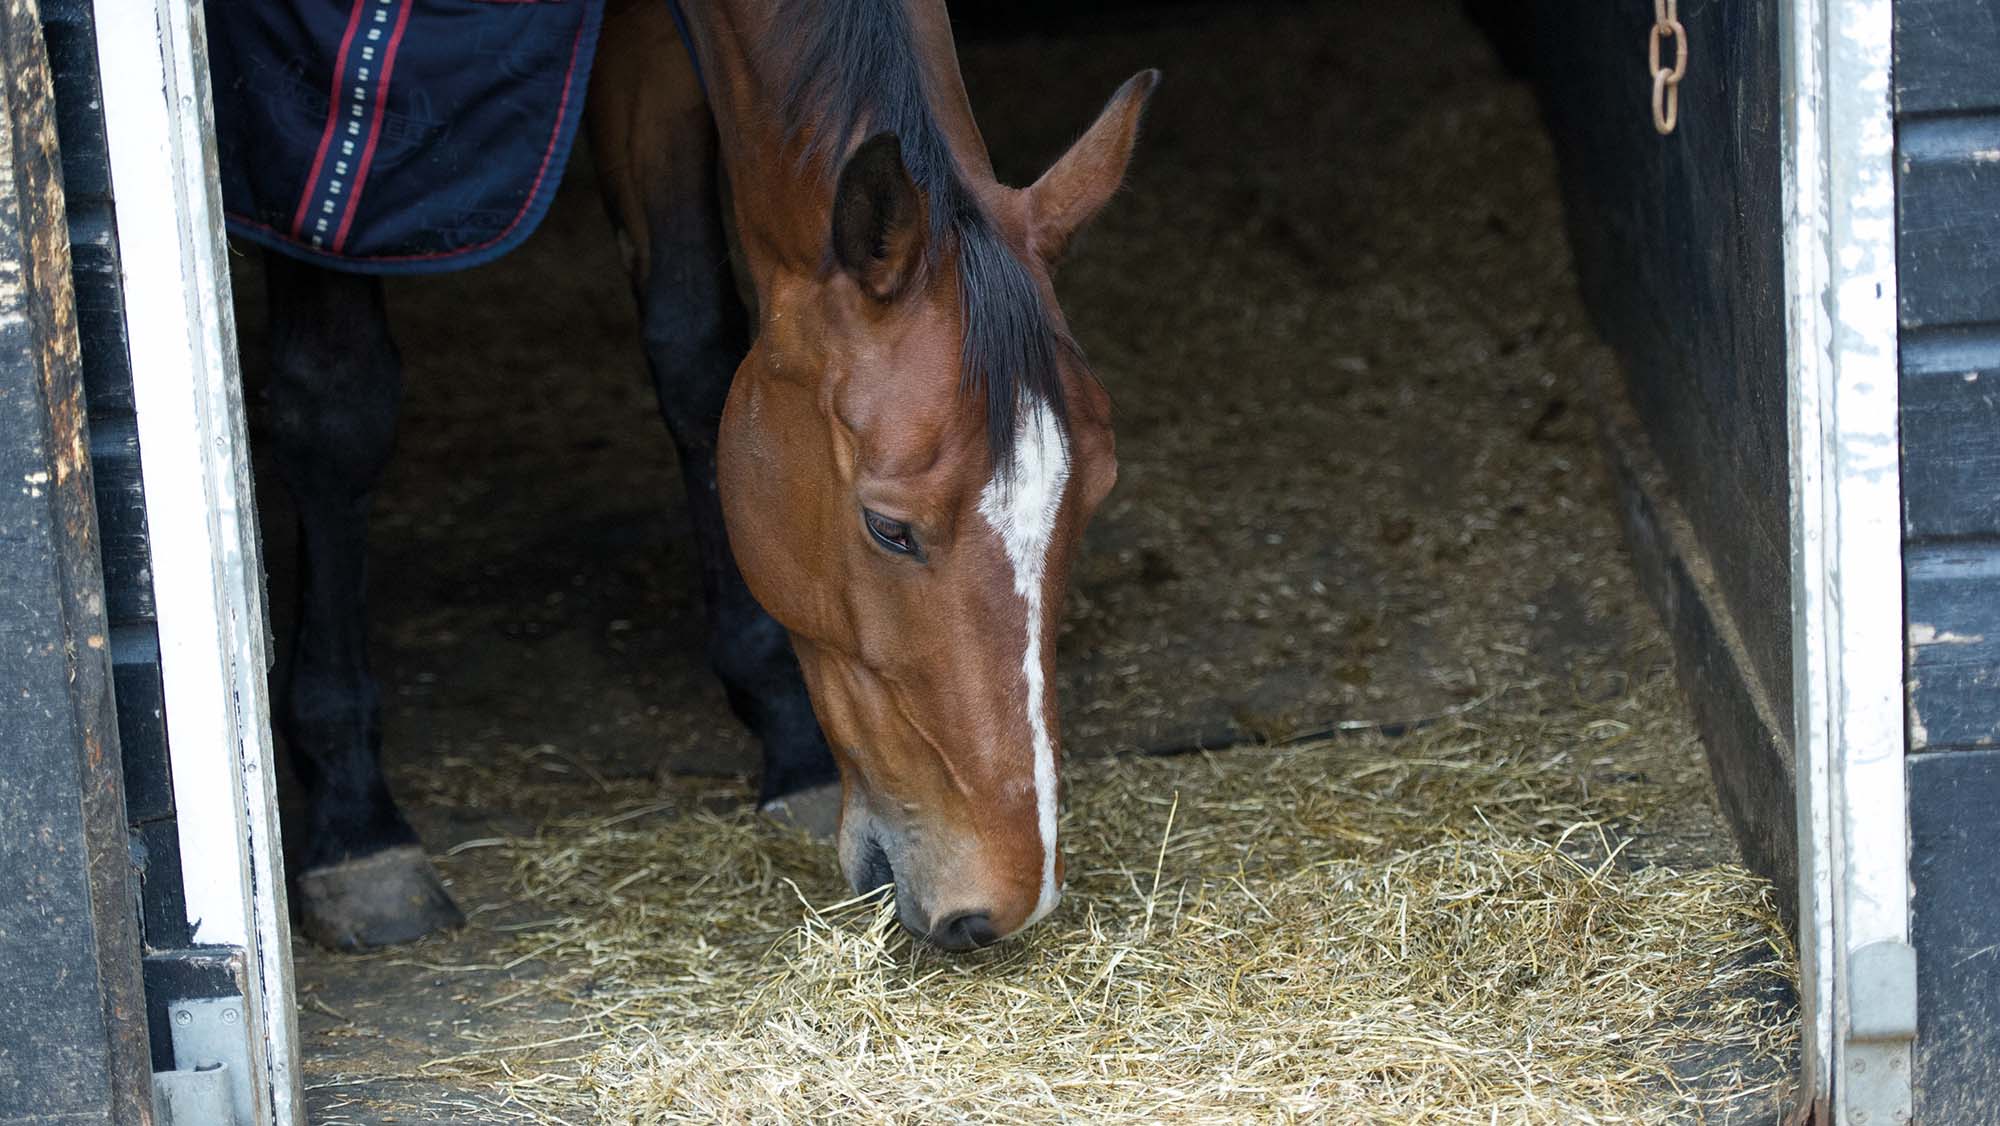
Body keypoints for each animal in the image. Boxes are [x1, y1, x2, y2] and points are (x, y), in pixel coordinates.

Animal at [238, 0, 1154, 952]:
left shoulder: (655, 52)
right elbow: (338, 406)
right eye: (888, 528)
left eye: (1093, 497)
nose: (1007, 902)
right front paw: (354, 820)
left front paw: (783, 733)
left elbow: (694, 353)